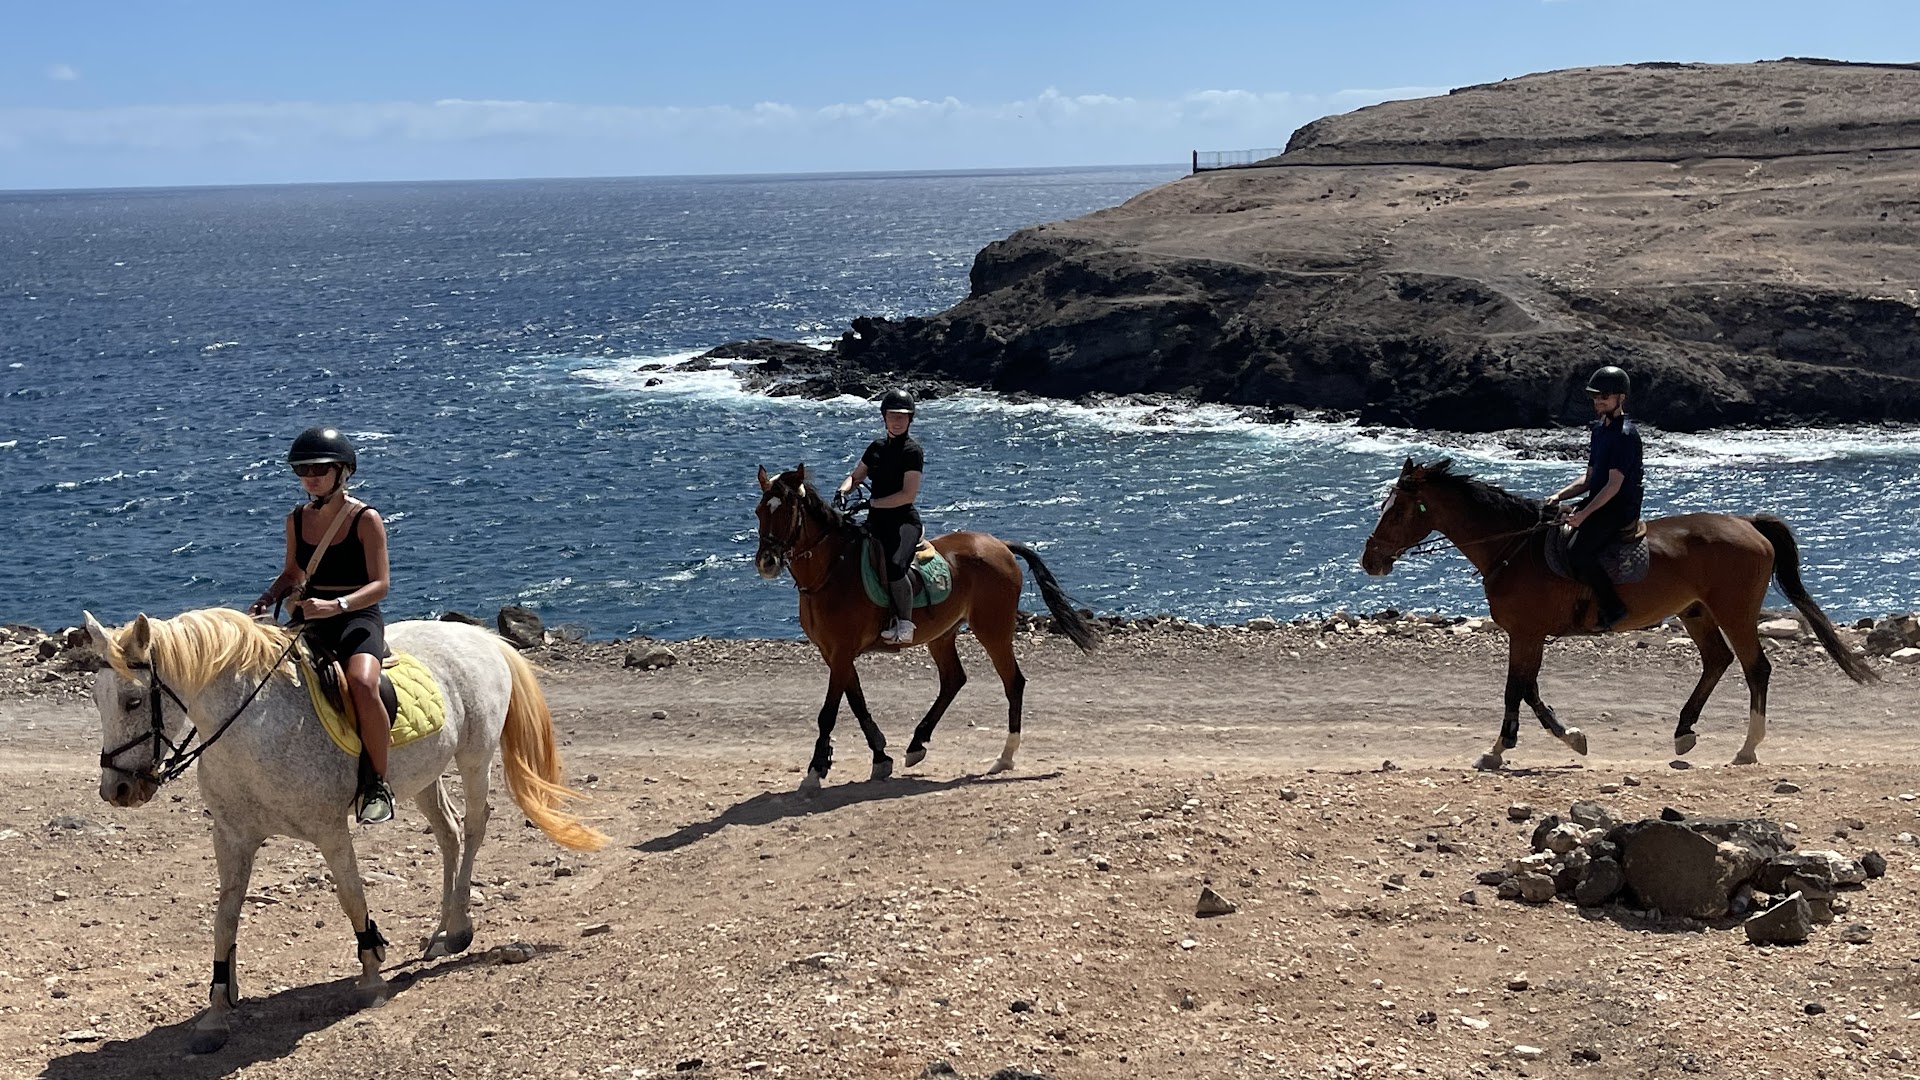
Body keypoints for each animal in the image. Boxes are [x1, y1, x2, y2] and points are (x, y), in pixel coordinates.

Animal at [82, 606, 607, 1054]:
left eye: (132, 700)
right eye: (97, 700)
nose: (117, 789)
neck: (255, 725)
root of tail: (480, 638)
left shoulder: (330, 831)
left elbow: (352, 895)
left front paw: (372, 976)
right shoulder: (231, 838)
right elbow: (224, 918)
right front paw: (216, 1013)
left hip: (474, 757)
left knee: (475, 826)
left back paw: (458, 931)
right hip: (424, 777)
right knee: (450, 832)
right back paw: (441, 934)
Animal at [753, 465, 1098, 794]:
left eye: (788, 511)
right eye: (758, 512)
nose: (767, 561)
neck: (833, 570)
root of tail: (999, 545)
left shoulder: (841, 652)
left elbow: (828, 713)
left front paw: (815, 771)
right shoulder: (833, 653)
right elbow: (857, 702)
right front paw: (880, 757)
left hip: (993, 630)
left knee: (1013, 683)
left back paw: (1005, 756)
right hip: (942, 635)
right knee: (954, 680)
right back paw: (917, 743)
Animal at [1360, 457, 1877, 770]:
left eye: (1398, 510)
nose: (1370, 560)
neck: (1515, 548)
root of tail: (1748, 524)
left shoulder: (1526, 633)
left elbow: (1516, 690)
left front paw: (1501, 749)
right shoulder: (1528, 635)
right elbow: (1528, 689)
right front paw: (1568, 736)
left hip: (1732, 611)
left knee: (1756, 668)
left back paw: (1747, 747)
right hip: (1695, 612)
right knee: (1717, 661)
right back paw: (1684, 732)